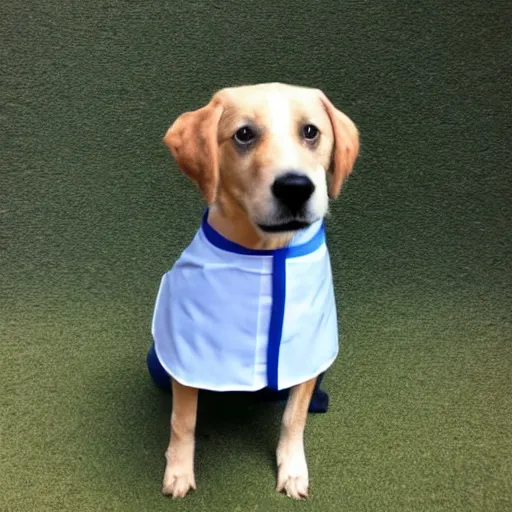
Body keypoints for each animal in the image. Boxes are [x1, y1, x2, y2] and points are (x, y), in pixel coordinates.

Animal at [154, 82, 358, 498]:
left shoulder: (305, 350)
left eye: (310, 131)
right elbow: (183, 420)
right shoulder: (186, 353)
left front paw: (292, 468)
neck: (266, 251)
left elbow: (294, 417)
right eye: (244, 134)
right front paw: (179, 470)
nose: (295, 188)